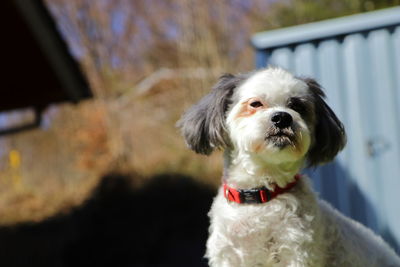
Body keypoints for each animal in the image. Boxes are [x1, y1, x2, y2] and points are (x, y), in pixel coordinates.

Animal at [178, 67, 400, 267]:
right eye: (255, 104)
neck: (262, 196)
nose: (283, 117)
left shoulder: (297, 253)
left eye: (298, 106)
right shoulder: (228, 256)